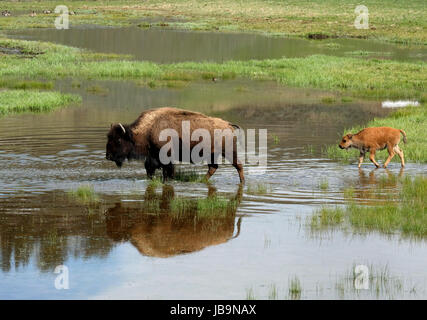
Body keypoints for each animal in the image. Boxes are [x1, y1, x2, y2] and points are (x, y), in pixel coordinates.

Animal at [105, 107, 246, 182]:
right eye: (108, 138)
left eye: (118, 140)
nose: (108, 156)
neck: (149, 129)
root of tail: (228, 124)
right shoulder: (152, 158)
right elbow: (150, 169)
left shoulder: (166, 158)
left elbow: (168, 171)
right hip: (212, 154)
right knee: (213, 167)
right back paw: (201, 181)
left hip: (228, 152)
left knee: (238, 165)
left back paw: (242, 182)